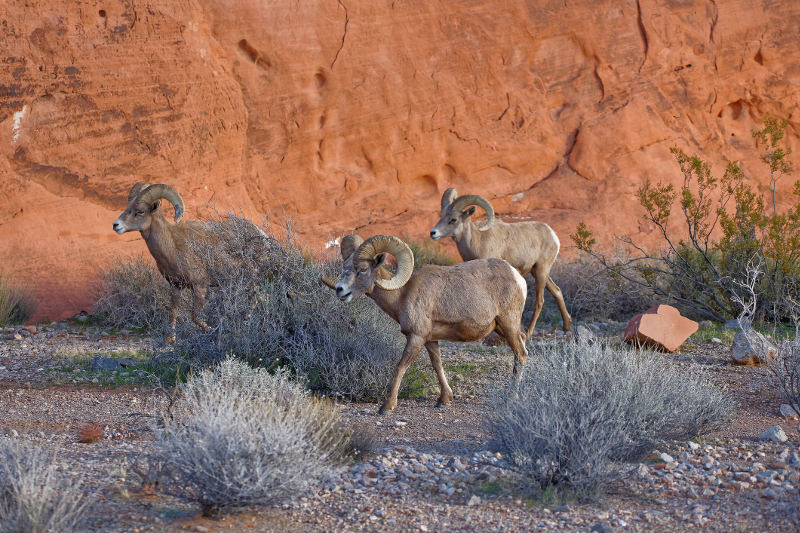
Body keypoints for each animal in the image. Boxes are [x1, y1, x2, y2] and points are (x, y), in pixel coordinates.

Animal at [111, 182, 223, 340]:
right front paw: (171, 339)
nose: (116, 225)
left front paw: (213, 331)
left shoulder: (199, 286)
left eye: (140, 211)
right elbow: (173, 312)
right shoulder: (175, 286)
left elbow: (195, 317)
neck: (173, 247)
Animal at [322, 233, 528, 412]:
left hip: (508, 324)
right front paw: (444, 400)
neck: (403, 294)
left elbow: (400, 367)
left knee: (521, 354)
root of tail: (518, 278)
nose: (340, 290)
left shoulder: (416, 337)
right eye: (344, 266)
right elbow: (437, 365)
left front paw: (387, 407)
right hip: (502, 328)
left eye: (363, 269)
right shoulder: (430, 340)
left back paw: (512, 397)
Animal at [432, 189, 568, 334]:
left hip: (541, 271)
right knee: (557, 291)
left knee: (540, 301)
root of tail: (552, 234)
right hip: (537, 271)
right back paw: (567, 326)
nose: (433, 233)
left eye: (453, 219)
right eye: (441, 216)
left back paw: (529, 332)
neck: (478, 240)